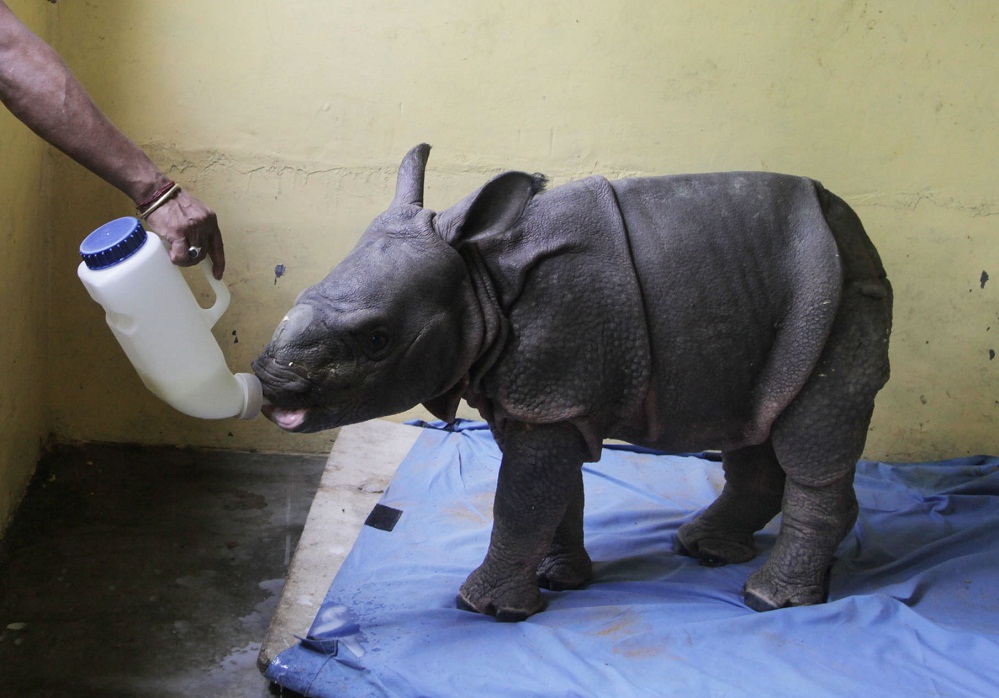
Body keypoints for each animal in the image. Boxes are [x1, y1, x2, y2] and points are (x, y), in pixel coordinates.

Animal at [252, 144, 892, 621]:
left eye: (378, 339)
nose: (271, 385)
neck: (479, 276)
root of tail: (855, 228)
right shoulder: (543, 399)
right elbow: (553, 496)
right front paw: (556, 581)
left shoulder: (555, 391)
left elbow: (521, 499)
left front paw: (486, 608)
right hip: (767, 305)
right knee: (758, 417)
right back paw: (704, 550)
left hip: (837, 297)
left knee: (810, 436)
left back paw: (766, 599)